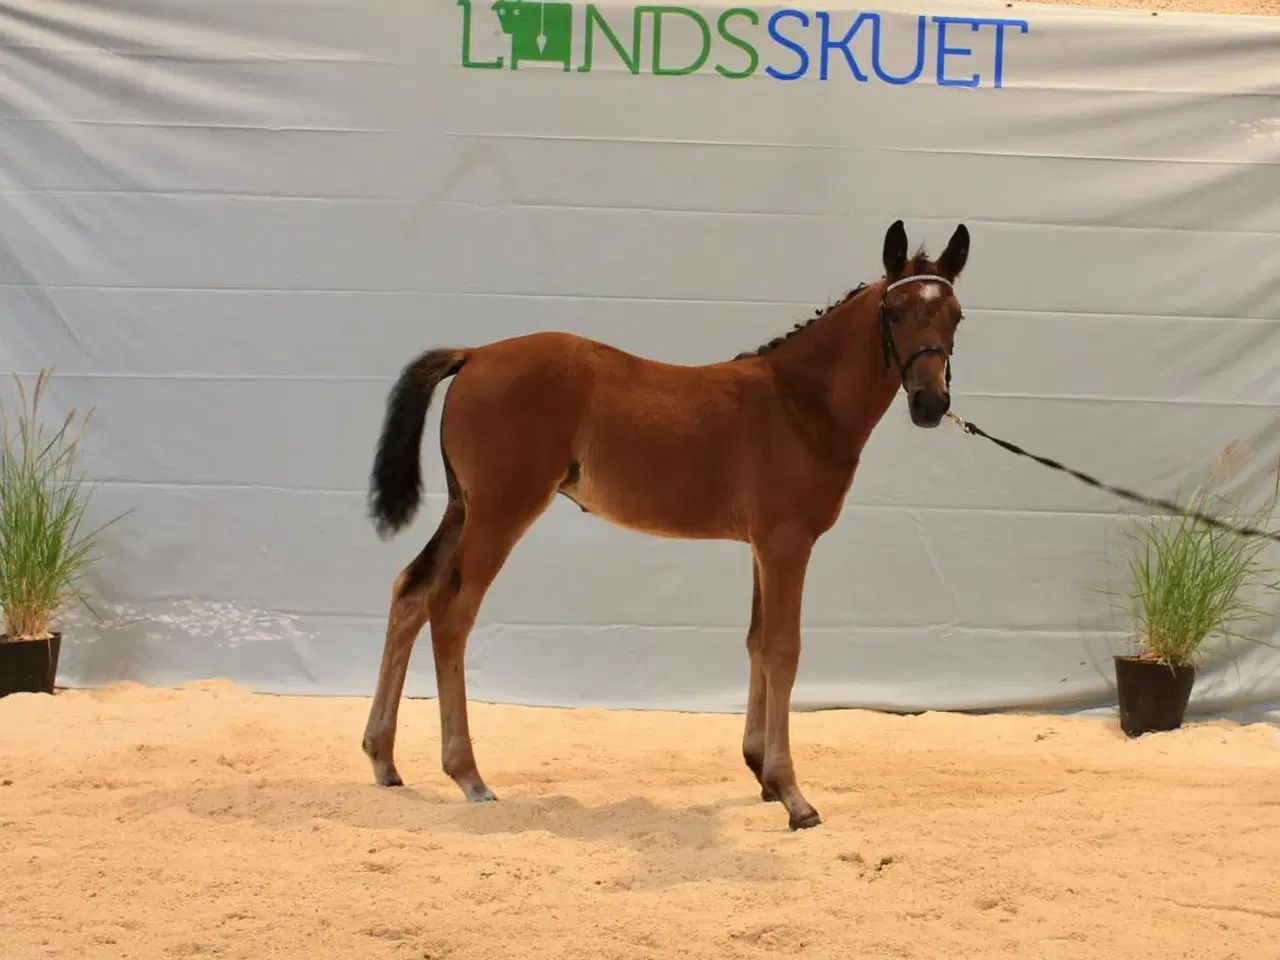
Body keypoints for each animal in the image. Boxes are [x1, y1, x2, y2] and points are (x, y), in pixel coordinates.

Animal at [361, 219, 970, 830]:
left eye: (956, 316)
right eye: (895, 312)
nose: (930, 404)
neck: (800, 403)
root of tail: (475, 354)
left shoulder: (760, 546)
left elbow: (755, 641)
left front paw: (759, 770)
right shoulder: (787, 542)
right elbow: (783, 648)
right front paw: (792, 793)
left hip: (462, 508)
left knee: (410, 591)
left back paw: (383, 758)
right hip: (499, 512)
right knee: (451, 610)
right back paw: (468, 774)